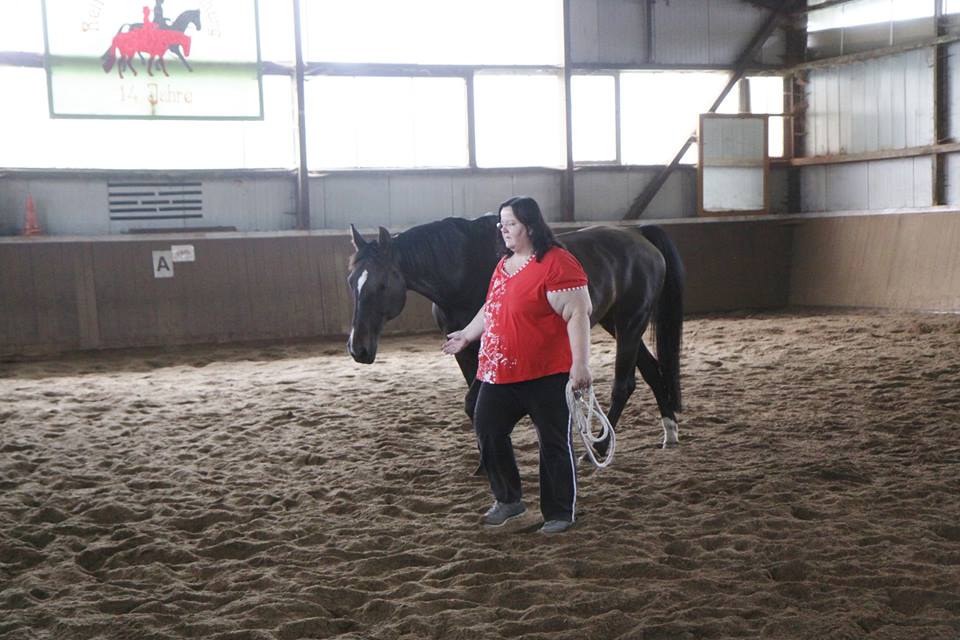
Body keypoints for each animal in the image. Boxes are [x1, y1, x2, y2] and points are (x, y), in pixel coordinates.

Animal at [347, 215, 684, 455]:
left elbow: (475, 402)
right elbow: (476, 406)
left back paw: (599, 448)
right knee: (652, 371)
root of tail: (639, 235)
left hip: (630, 322)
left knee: (623, 384)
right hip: (616, 323)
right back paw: (669, 432)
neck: (463, 272)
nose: (357, 349)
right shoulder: (464, 351)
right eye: (351, 281)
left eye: (381, 285)